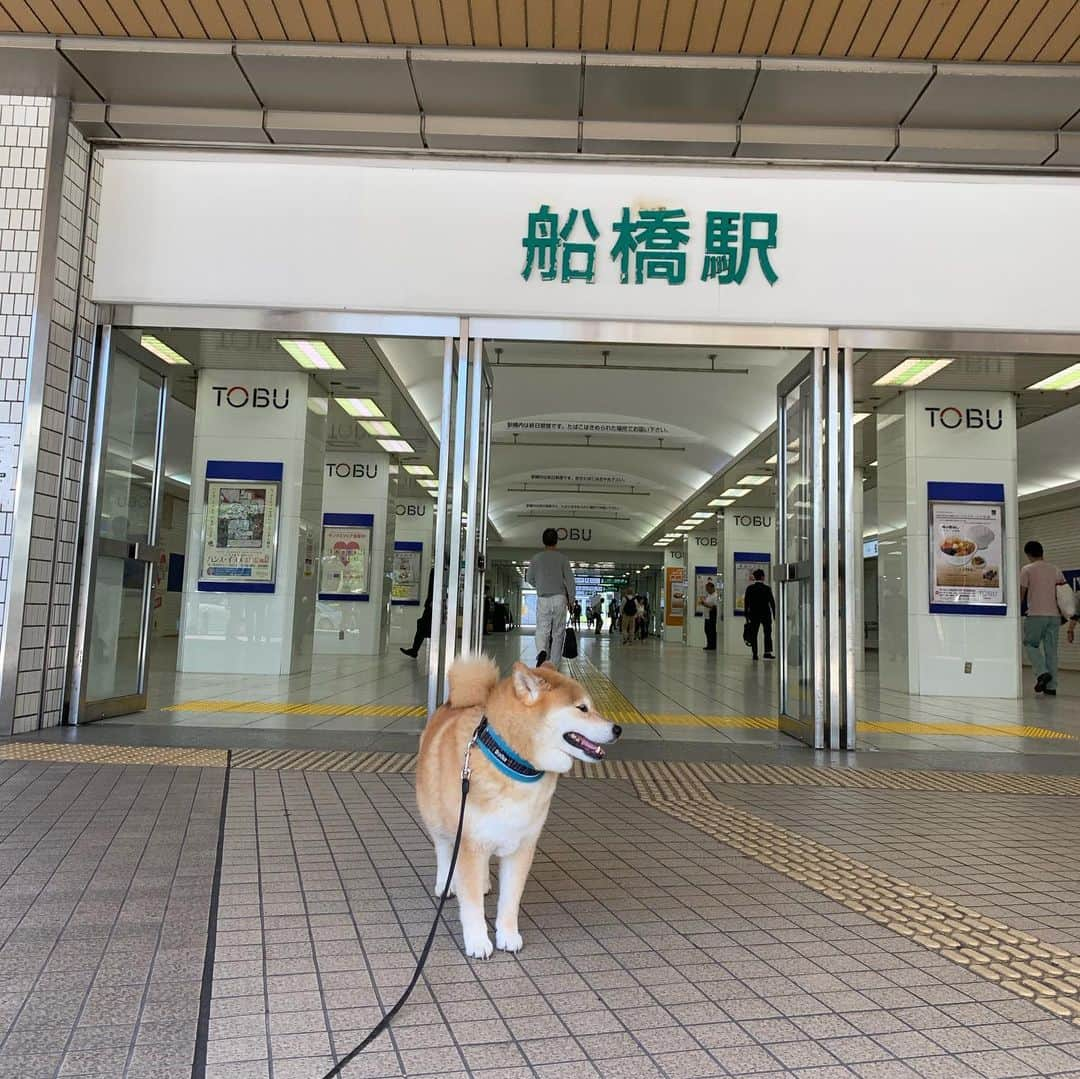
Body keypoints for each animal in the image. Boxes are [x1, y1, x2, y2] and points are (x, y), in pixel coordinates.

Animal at [414, 656, 622, 963]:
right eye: (582, 708)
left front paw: (508, 936)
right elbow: (471, 904)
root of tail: (452, 703)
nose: (618, 728)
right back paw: (445, 884)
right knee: (443, 848)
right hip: (437, 814)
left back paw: (484, 882)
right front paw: (478, 941)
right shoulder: (469, 841)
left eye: (590, 706)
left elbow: (510, 901)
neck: (513, 764)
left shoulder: (522, 846)